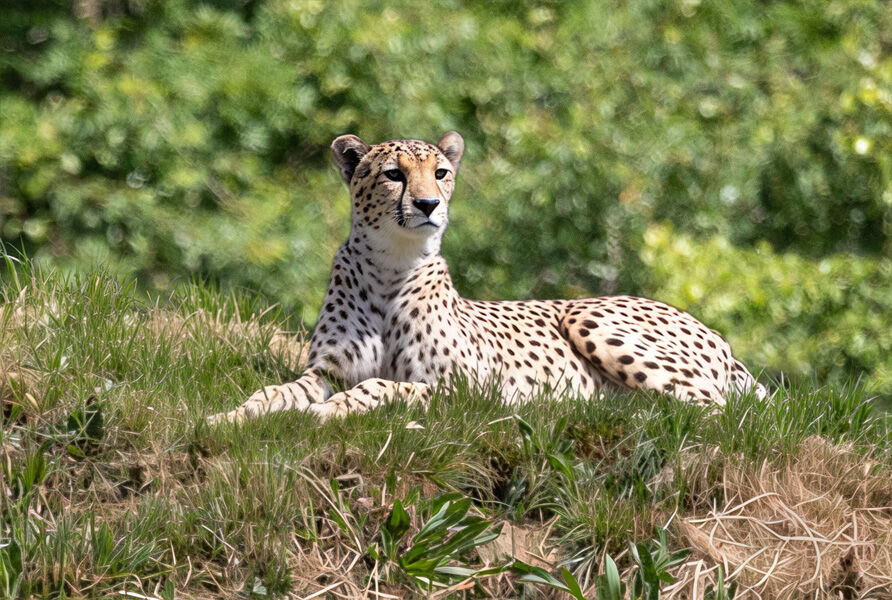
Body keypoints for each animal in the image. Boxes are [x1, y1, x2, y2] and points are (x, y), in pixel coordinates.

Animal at [208, 131, 765, 424]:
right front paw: (229, 416)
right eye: (393, 174)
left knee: (717, 413)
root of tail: (720, 337)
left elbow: (385, 386)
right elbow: (275, 392)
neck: (392, 264)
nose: (427, 204)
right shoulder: (325, 372)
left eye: (441, 172)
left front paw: (330, 413)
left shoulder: (469, 390)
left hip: (588, 315)